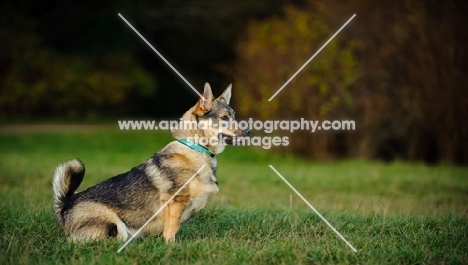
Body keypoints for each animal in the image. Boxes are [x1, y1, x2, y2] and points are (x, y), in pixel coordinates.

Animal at [52, 82, 250, 241]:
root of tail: (65, 206)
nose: (249, 132)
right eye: (224, 118)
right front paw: (171, 247)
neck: (197, 148)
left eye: (233, 116)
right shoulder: (176, 203)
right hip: (115, 226)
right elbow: (172, 230)